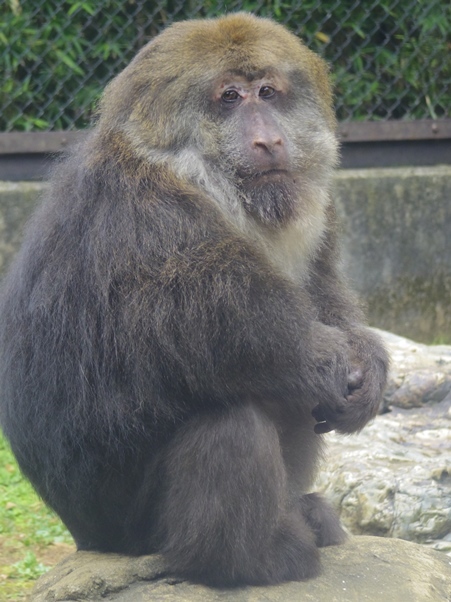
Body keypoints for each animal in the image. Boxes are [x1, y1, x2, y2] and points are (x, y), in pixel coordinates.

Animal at [0, 12, 388, 584]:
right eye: (229, 97)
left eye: (267, 92)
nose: (269, 139)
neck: (199, 177)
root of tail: (86, 536)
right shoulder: (146, 215)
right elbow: (221, 330)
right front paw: (329, 358)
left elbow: (322, 289)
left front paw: (367, 362)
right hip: (130, 528)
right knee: (234, 421)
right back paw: (249, 560)